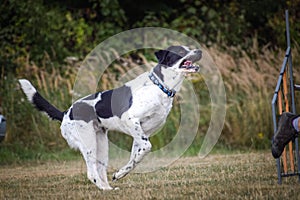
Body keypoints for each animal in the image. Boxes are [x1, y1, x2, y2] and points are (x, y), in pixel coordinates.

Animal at [18, 45, 202, 191]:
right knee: (91, 173)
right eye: (181, 51)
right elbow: (147, 148)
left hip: (102, 145)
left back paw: (108, 188)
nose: (199, 50)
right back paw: (103, 189)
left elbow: (135, 158)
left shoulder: (142, 133)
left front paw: (120, 174)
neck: (159, 87)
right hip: (88, 143)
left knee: (100, 170)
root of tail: (65, 113)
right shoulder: (131, 120)